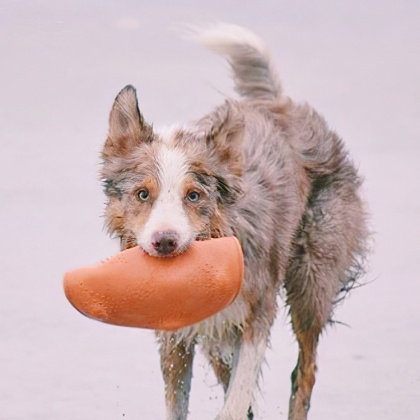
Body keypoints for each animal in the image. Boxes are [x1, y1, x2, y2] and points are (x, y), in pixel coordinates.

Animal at [98, 23, 368, 420]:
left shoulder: (258, 311)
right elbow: (181, 402)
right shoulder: (176, 335)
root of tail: (277, 103)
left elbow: (236, 399)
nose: (165, 242)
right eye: (143, 194)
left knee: (305, 369)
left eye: (194, 195)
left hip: (312, 281)